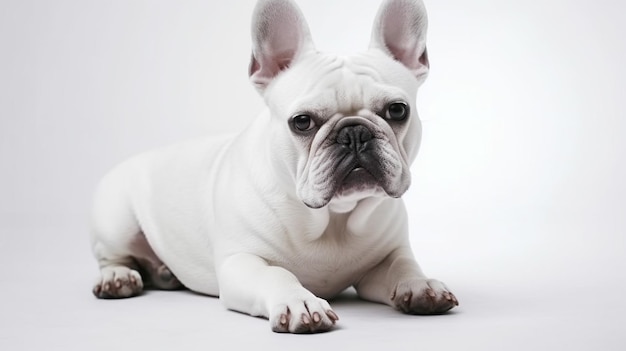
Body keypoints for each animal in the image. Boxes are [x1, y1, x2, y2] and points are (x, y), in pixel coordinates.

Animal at [90, 0, 456, 334]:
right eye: (302, 122)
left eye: (397, 110)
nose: (354, 133)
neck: (333, 220)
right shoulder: (240, 262)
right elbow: (275, 273)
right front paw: (300, 302)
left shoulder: (386, 258)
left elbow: (402, 266)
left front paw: (421, 285)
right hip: (118, 222)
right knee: (111, 256)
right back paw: (118, 277)